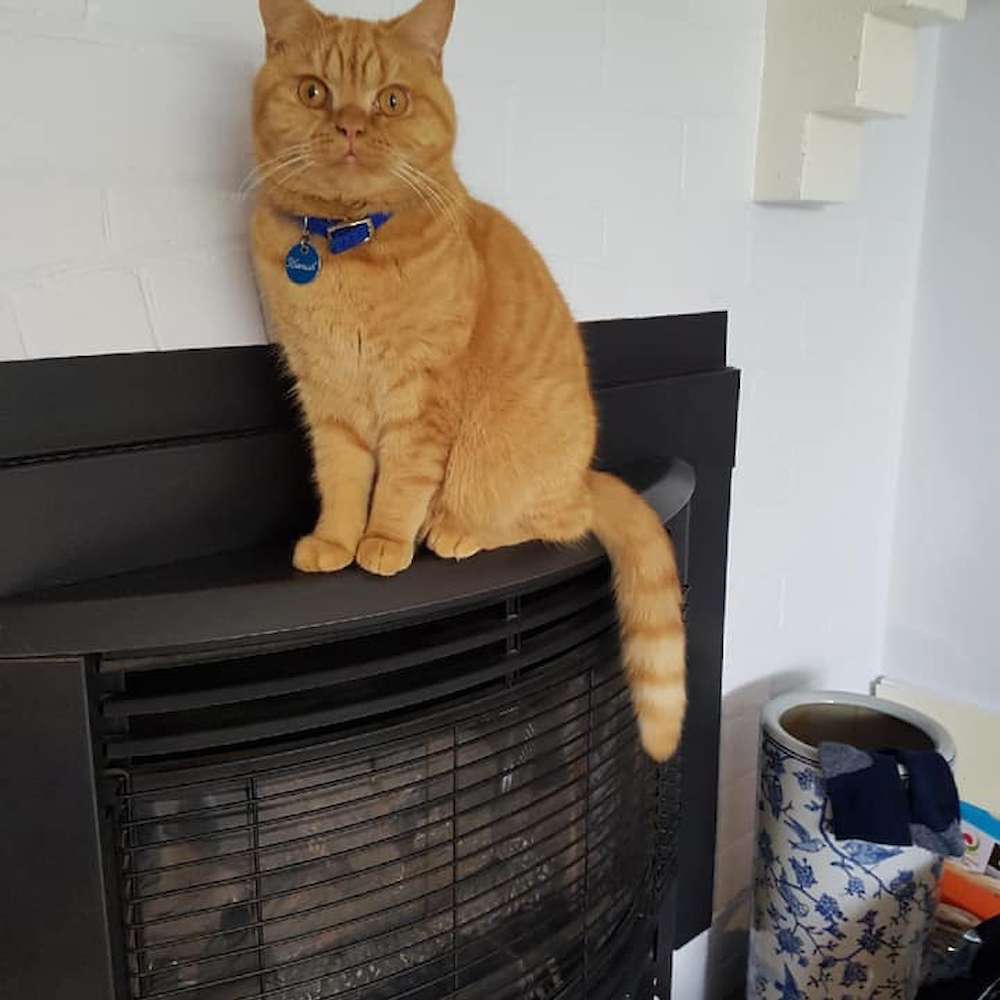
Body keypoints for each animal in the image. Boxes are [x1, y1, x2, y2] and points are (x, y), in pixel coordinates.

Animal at [250, 0, 686, 763]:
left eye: (391, 100)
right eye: (313, 91)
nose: (351, 126)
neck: (343, 249)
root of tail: (585, 475)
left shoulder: (421, 396)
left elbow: (398, 481)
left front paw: (383, 540)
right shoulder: (326, 399)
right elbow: (341, 478)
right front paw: (336, 539)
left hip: (502, 469)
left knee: (555, 522)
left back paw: (451, 528)